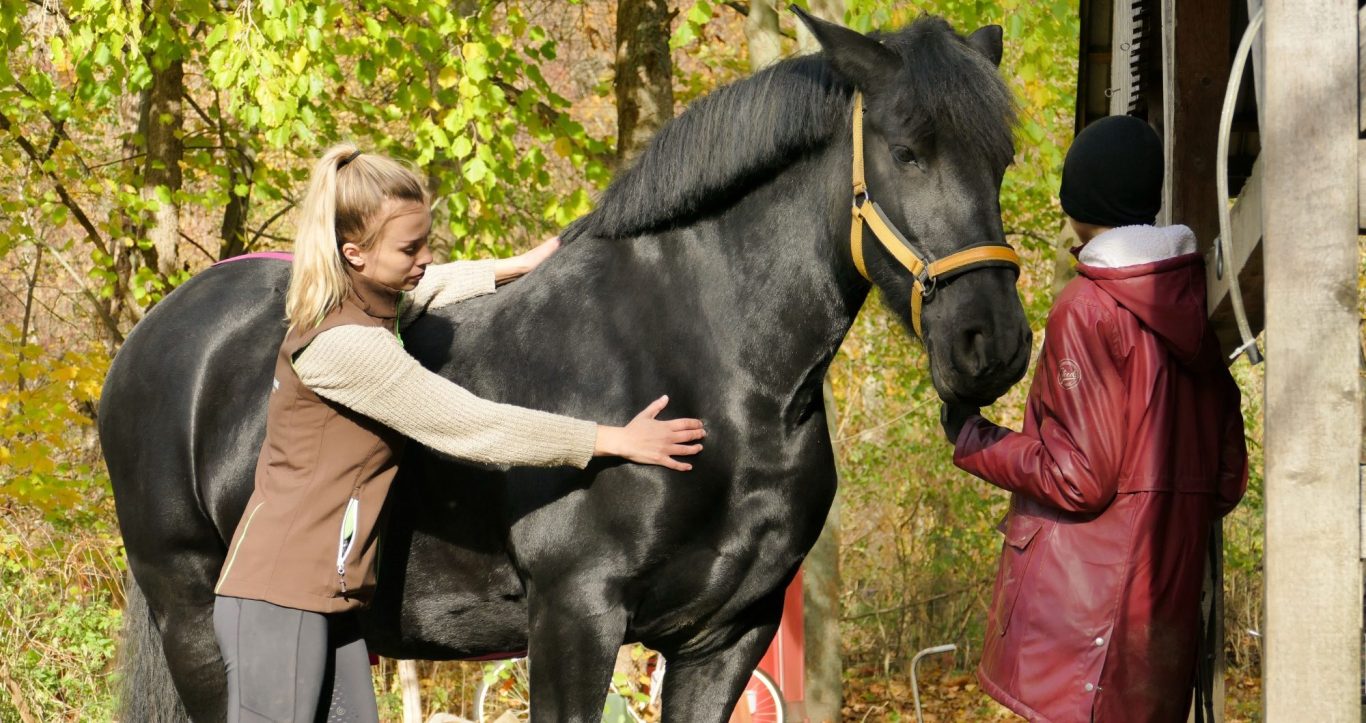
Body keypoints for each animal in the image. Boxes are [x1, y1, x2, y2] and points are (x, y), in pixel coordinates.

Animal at [100, 11, 1029, 722]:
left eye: (1002, 158)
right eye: (908, 151)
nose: (992, 343)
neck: (714, 368)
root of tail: (155, 341)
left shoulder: (729, 637)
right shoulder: (574, 617)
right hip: (196, 619)